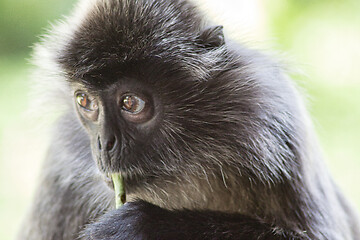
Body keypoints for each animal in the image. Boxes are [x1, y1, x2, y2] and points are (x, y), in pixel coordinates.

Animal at [17, 0, 360, 239]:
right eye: (84, 101)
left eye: (131, 103)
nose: (103, 143)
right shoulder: (60, 167)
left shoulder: (275, 117)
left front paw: (148, 224)